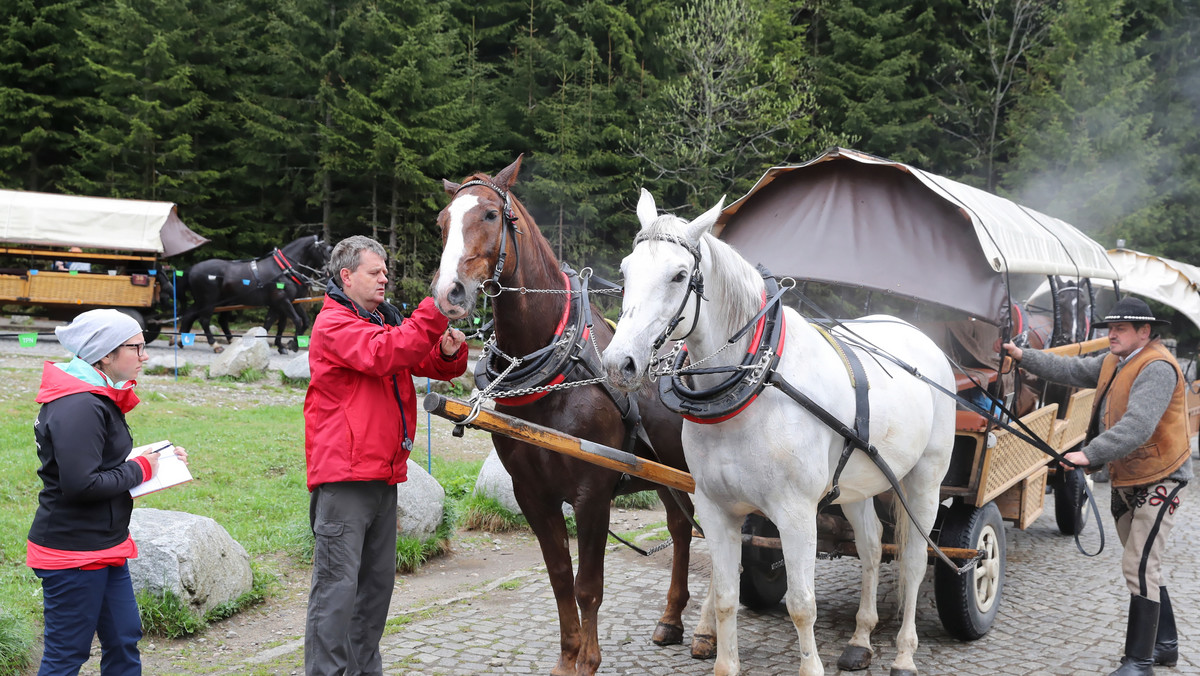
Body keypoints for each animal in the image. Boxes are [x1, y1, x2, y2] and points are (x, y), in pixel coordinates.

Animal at [177, 235, 331, 355]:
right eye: (324, 250)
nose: (328, 273)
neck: (284, 269)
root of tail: (193, 269)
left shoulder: (287, 302)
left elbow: (284, 323)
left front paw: (281, 345)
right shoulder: (282, 301)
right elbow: (297, 321)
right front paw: (292, 344)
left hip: (210, 301)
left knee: (191, 315)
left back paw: (181, 340)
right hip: (209, 301)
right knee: (204, 320)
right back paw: (215, 345)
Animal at [432, 157, 696, 676]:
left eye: (490, 215)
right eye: (442, 222)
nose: (448, 292)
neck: (556, 367)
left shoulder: (592, 493)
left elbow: (587, 585)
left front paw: (588, 661)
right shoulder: (532, 494)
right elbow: (558, 578)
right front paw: (567, 657)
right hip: (664, 471)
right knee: (680, 527)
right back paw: (672, 618)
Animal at [600, 190, 955, 676]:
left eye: (678, 275)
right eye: (625, 270)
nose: (619, 363)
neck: (755, 380)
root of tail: (920, 336)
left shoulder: (795, 512)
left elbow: (802, 604)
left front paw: (810, 666)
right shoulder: (715, 508)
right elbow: (726, 596)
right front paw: (723, 661)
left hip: (924, 481)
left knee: (915, 562)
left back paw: (904, 653)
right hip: (858, 486)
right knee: (871, 549)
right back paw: (860, 639)